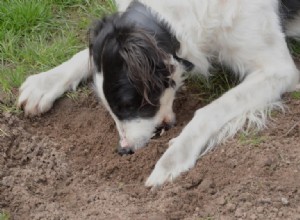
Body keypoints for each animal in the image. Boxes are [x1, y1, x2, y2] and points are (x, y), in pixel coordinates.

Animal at [18, 0, 300, 186]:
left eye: (127, 105)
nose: (123, 151)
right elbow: (83, 56)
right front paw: (44, 83)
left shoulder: (278, 69)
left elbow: (210, 110)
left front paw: (173, 158)